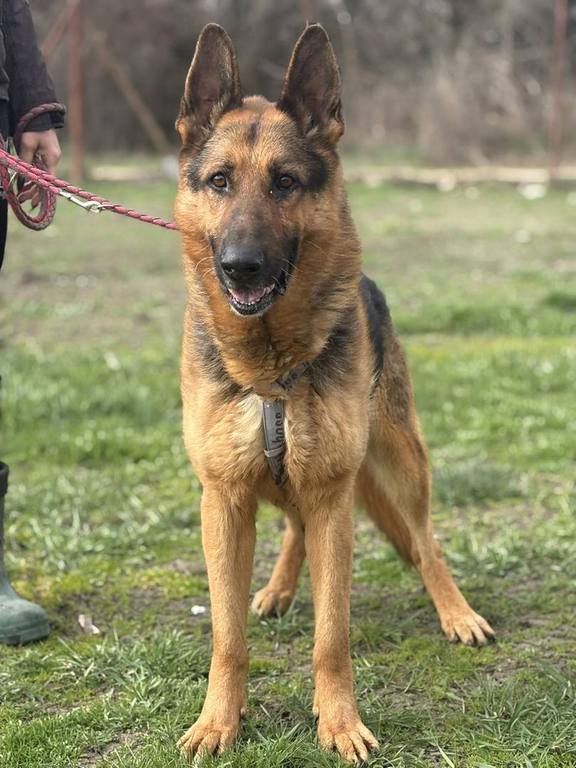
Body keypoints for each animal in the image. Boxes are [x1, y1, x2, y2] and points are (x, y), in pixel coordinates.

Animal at [173, 23, 495, 763]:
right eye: (219, 181)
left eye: (286, 182)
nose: (240, 266)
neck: (269, 367)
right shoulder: (223, 501)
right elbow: (227, 638)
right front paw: (218, 722)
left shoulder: (332, 499)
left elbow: (333, 636)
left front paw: (340, 724)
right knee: (292, 526)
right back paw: (278, 586)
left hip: (402, 464)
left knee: (426, 542)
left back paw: (456, 611)